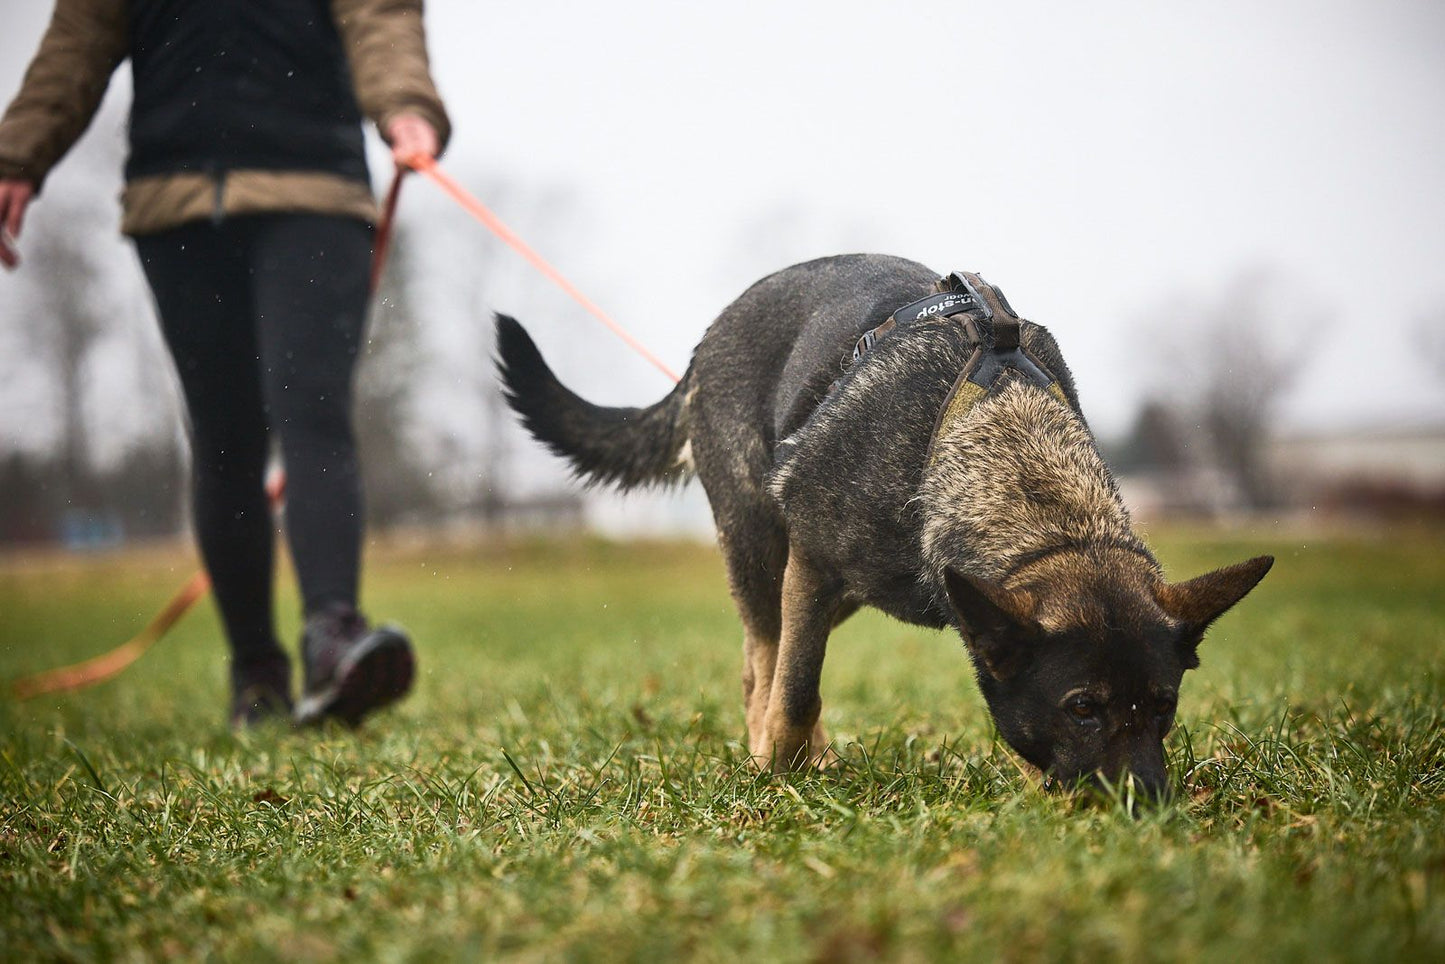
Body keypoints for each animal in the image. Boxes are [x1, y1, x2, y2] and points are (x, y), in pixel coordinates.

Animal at [499, 254, 1277, 797]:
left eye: (1165, 707)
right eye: (1082, 707)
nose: (1149, 808)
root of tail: (706, 343)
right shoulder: (813, 566)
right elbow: (795, 691)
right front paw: (774, 779)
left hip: (832, 589)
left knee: (765, 659)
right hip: (761, 548)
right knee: (766, 661)